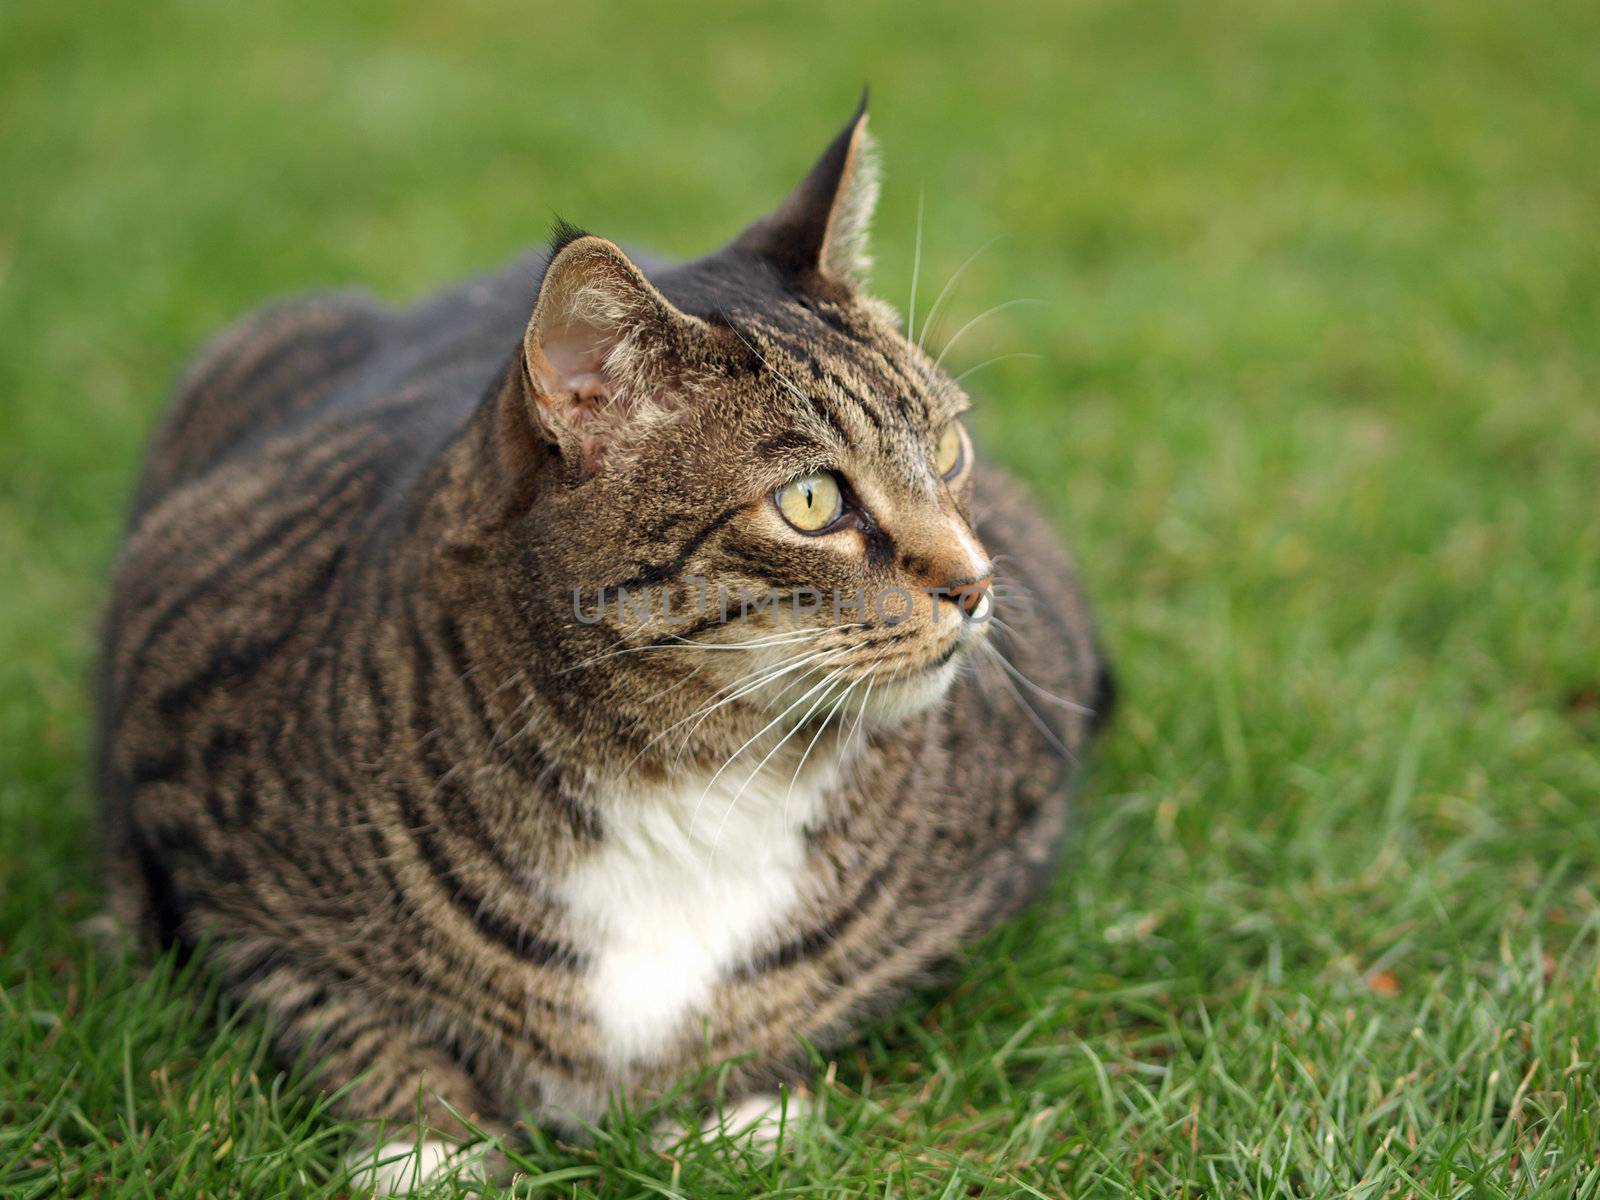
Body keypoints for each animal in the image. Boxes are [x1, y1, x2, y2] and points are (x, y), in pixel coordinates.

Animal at [93, 103, 1107, 1196]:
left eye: (950, 451)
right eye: (811, 501)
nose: (976, 583)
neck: (695, 776)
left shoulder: (1017, 825)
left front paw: (733, 1106)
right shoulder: (203, 823)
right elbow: (339, 1006)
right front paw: (427, 1149)